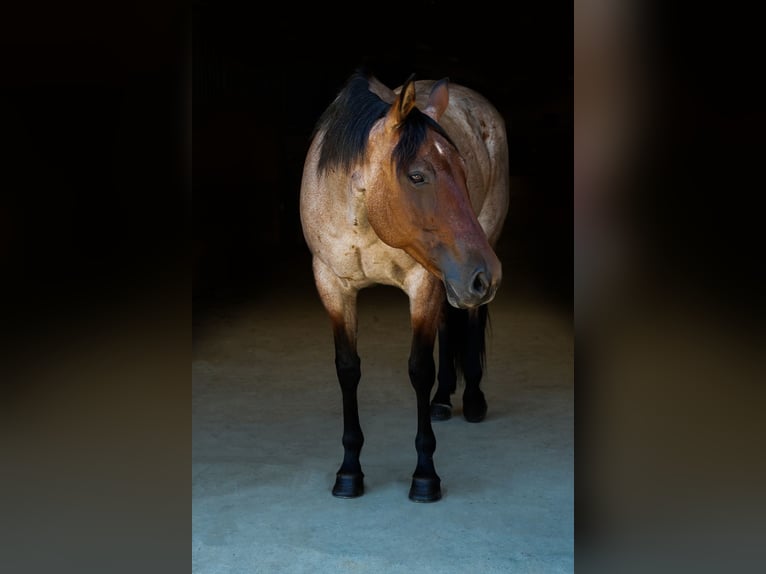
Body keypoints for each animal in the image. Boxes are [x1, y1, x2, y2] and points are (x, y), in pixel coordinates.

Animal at [299, 70, 510, 502]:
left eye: (464, 172)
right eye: (417, 176)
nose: (488, 275)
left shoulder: (423, 284)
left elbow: (418, 369)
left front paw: (425, 475)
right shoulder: (332, 286)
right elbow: (347, 369)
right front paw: (349, 472)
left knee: (472, 319)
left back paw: (473, 401)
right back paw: (443, 401)